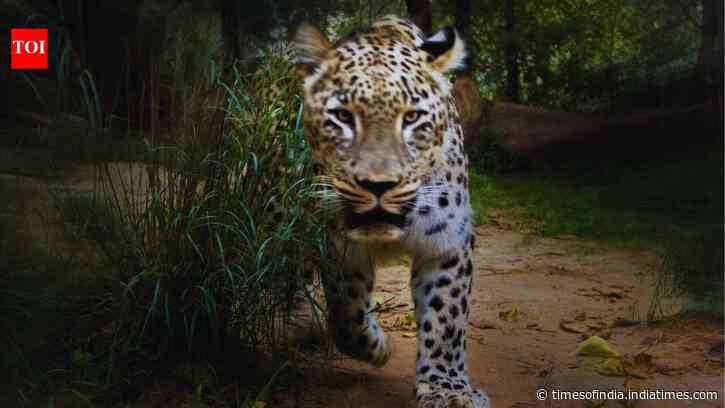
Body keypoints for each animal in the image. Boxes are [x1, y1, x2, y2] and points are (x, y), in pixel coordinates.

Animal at [293, 15, 491, 408]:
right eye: (342, 116)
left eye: (412, 118)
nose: (378, 185)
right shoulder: (338, 244)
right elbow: (348, 309)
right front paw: (377, 346)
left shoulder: (447, 243)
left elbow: (446, 319)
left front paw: (447, 390)